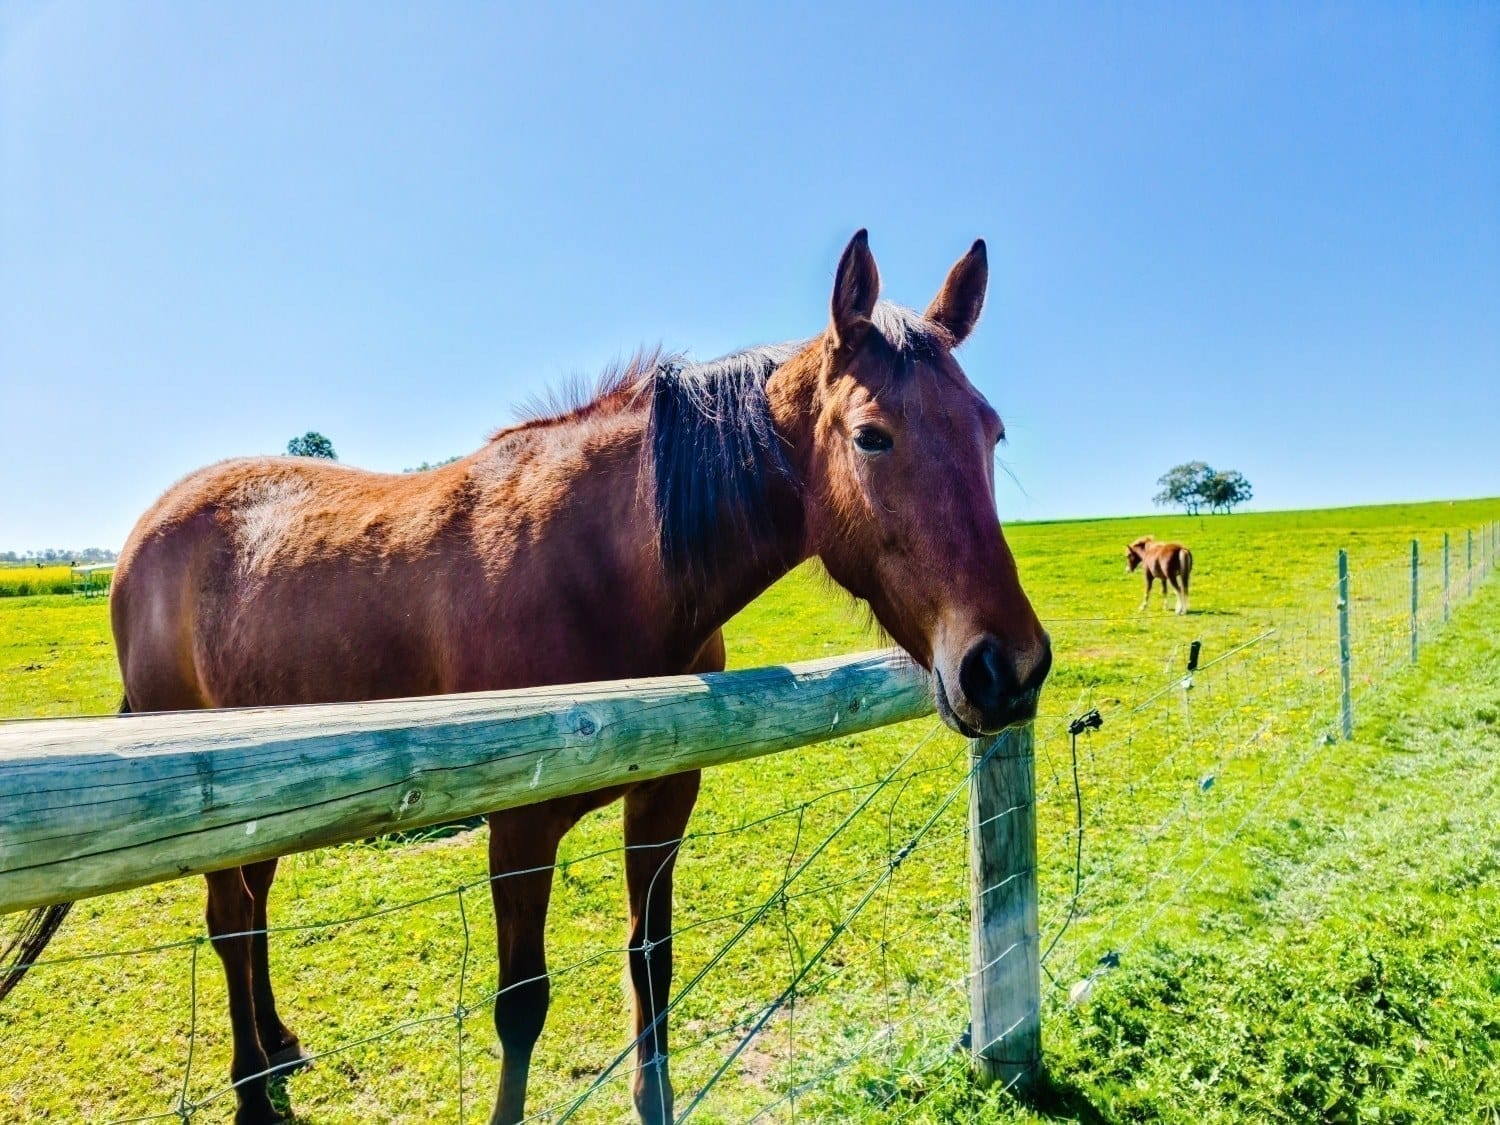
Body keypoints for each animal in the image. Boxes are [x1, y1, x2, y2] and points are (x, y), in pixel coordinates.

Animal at [5, 231, 1050, 1125]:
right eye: (873, 436)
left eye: (994, 433)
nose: (1008, 666)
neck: (608, 563)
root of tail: (146, 533)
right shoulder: (517, 827)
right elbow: (521, 1004)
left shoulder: (664, 799)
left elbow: (652, 962)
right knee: (228, 922)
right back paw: (253, 1092)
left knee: (252, 913)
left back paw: (277, 1045)